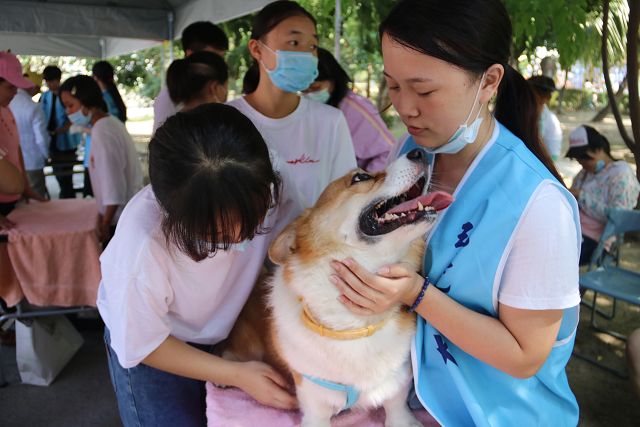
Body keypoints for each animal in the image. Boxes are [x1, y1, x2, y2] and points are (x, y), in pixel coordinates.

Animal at [228, 150, 452, 427]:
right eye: (360, 177)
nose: (420, 152)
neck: (352, 325)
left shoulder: (396, 386)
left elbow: (397, 409)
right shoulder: (315, 406)